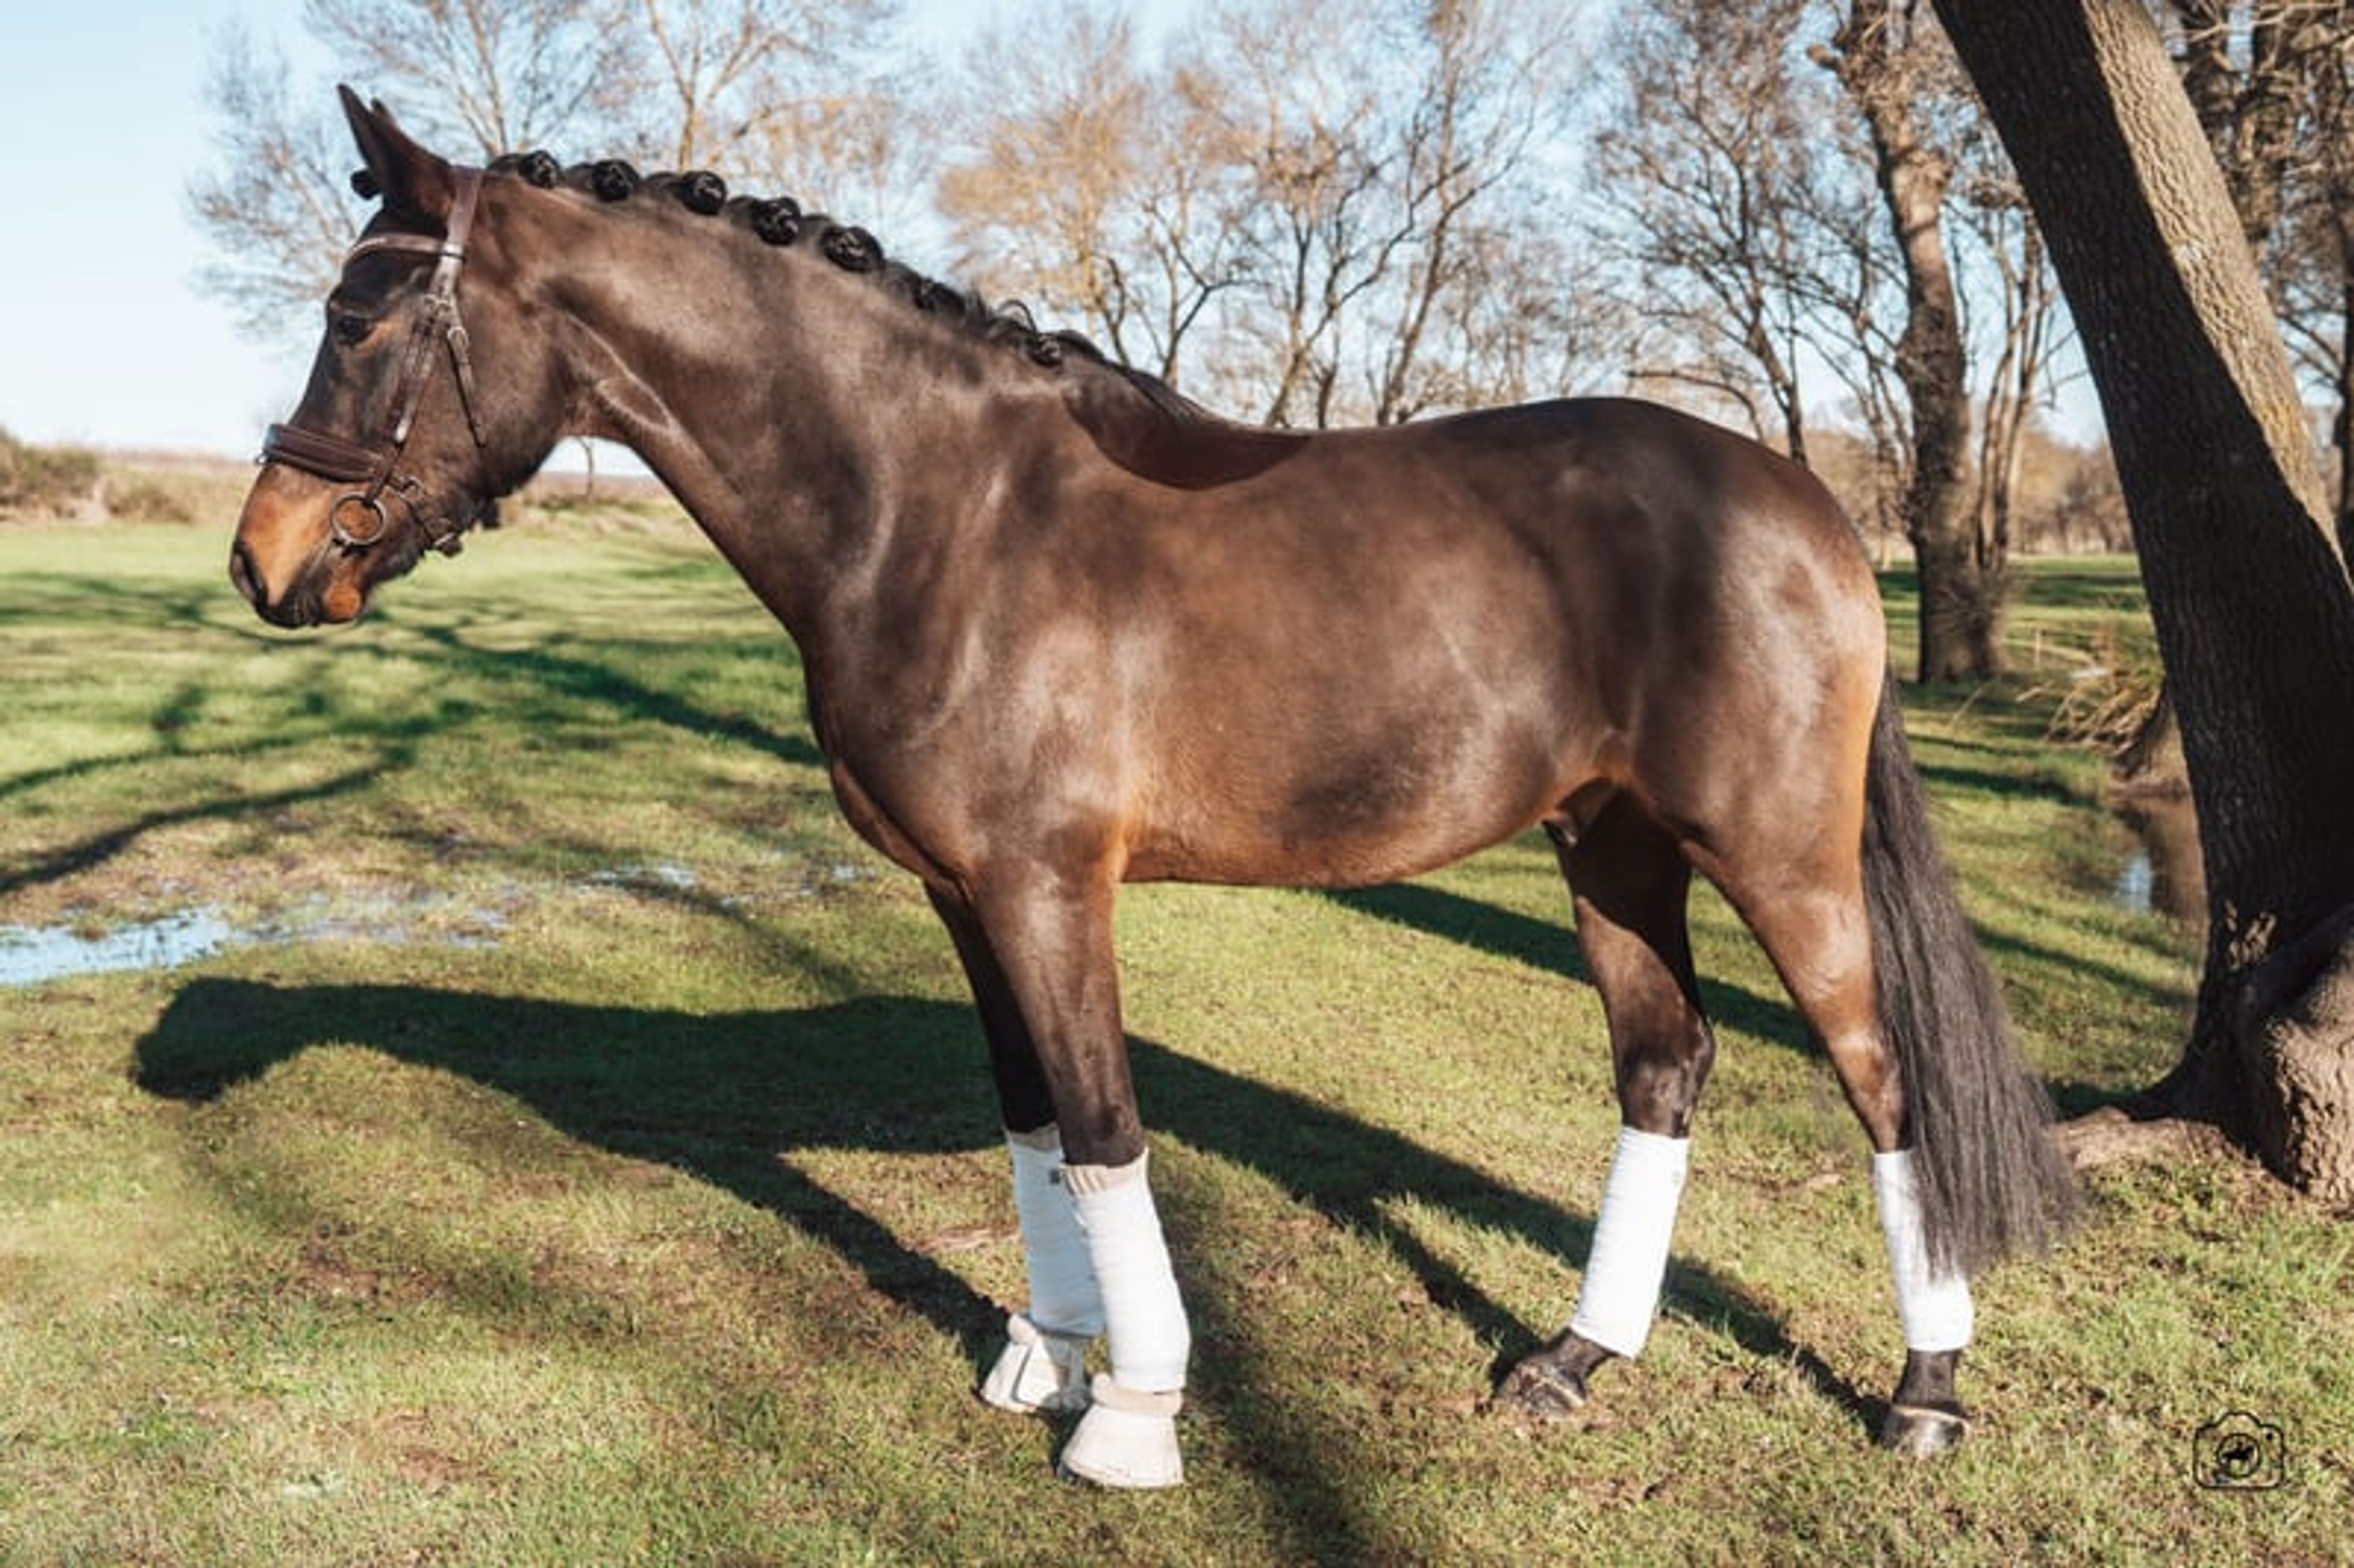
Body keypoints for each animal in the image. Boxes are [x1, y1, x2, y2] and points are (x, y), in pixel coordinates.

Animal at [231, 90, 2076, 1488]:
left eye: (358, 317)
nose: (265, 560)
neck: (940, 512)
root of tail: (1810, 503)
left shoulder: (1053, 888)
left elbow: (1109, 1127)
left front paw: (1131, 1409)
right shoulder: (963, 896)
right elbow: (1035, 1122)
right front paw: (1044, 1352)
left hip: (1778, 858)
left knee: (1881, 1082)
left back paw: (1923, 1394)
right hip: (1611, 846)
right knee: (1665, 1063)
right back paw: (1568, 1358)